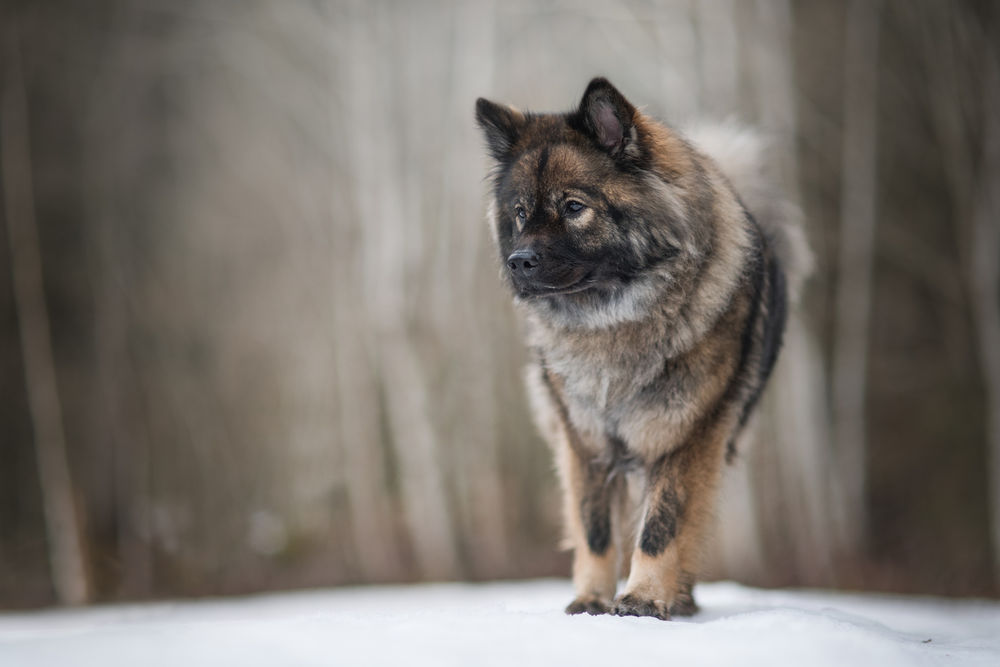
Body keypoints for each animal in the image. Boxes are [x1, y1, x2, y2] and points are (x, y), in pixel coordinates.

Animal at [476, 79, 812, 620]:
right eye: (521, 213)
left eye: (574, 207)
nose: (519, 261)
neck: (614, 324)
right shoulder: (585, 442)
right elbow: (594, 530)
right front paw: (591, 600)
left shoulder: (686, 436)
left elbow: (662, 527)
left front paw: (643, 598)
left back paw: (681, 598)